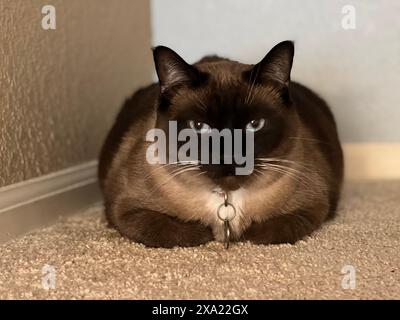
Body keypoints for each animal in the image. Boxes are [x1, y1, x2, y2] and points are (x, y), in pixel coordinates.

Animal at [97, 40, 344, 248]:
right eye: (199, 126)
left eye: (254, 124)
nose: (230, 157)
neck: (226, 199)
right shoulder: (124, 210)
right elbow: (174, 232)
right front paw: (205, 233)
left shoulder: (313, 207)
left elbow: (266, 232)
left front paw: (243, 235)